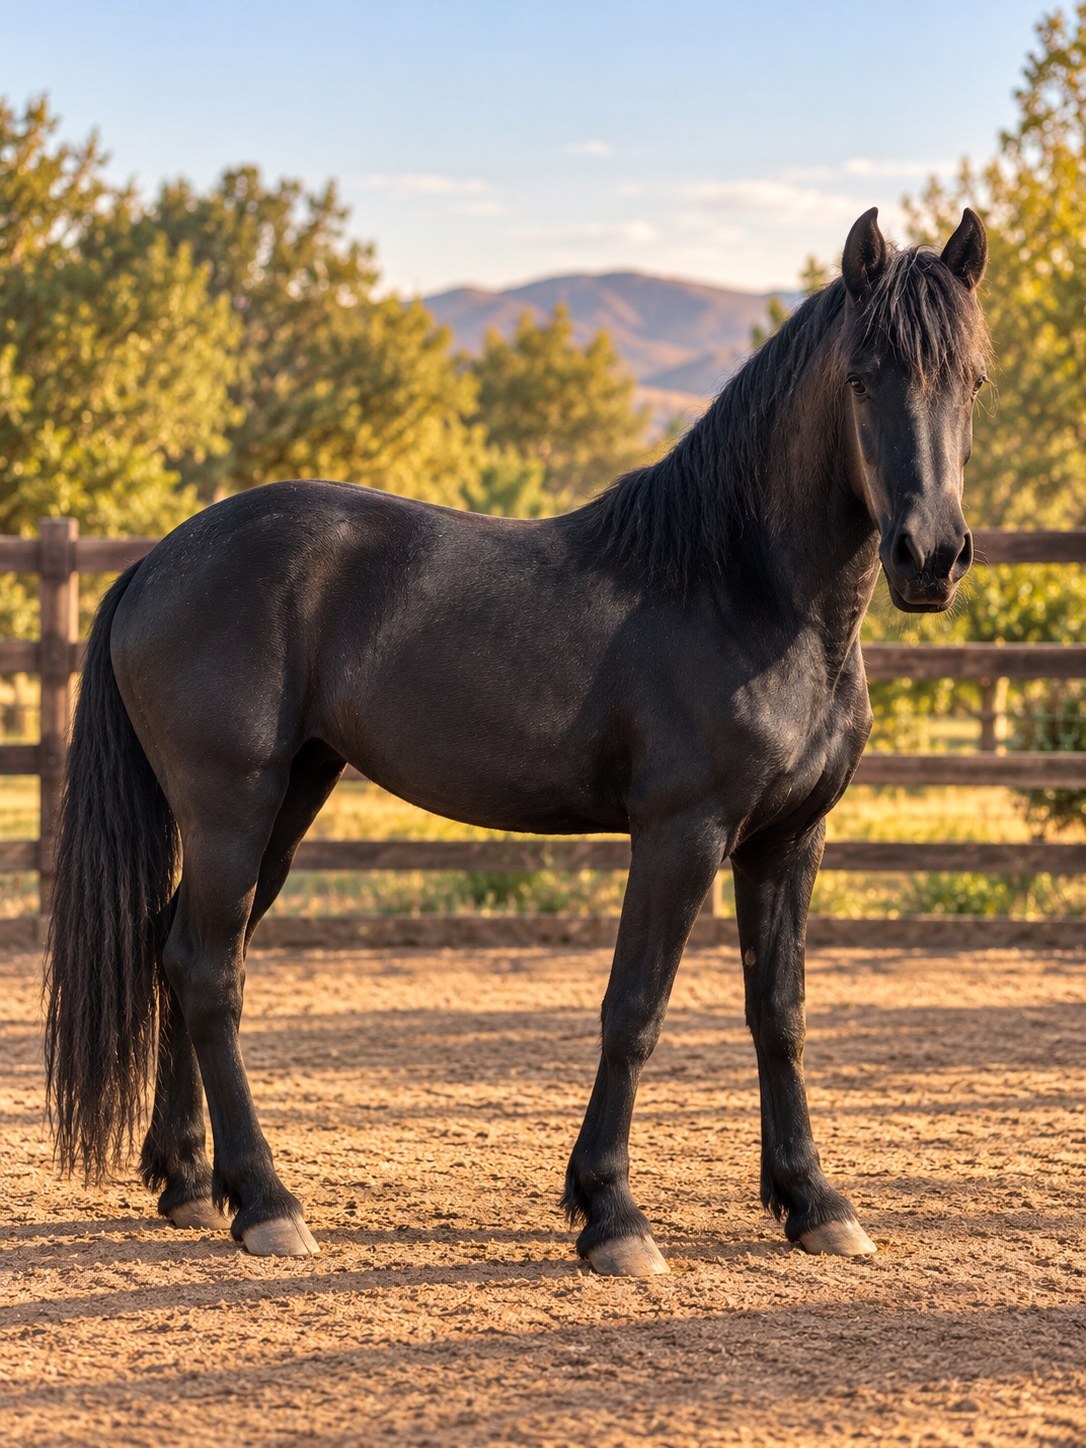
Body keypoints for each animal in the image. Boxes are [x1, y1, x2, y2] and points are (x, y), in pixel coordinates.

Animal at [45, 207, 989, 1274]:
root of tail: (157, 561)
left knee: (177, 951)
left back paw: (190, 1182)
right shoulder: (682, 834)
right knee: (209, 973)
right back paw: (267, 1203)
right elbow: (635, 1011)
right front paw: (612, 1213)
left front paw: (815, 1202)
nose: (932, 557)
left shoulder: (789, 840)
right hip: (228, 810)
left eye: (970, 381)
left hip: (287, 801)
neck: (741, 591)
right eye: (863, 376)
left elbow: (778, 1015)